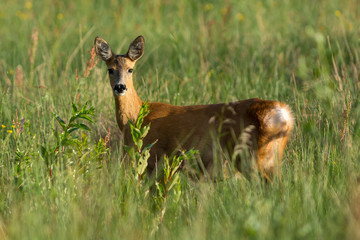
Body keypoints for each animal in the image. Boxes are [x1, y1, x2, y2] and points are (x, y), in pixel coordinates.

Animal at [94, 35, 294, 181]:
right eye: (110, 69)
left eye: (130, 69)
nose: (120, 87)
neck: (136, 118)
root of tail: (282, 113)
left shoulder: (155, 158)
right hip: (271, 156)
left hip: (250, 156)